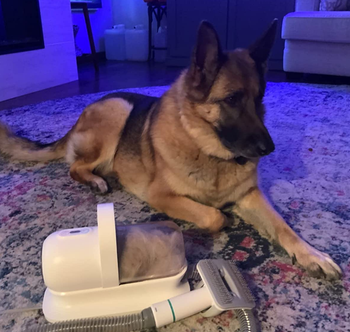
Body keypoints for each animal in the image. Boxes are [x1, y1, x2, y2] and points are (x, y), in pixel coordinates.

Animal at [0, 21, 342, 280]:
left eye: (259, 98)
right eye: (232, 99)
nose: (268, 149)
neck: (209, 152)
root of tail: (83, 114)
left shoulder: (250, 195)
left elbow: (283, 227)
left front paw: (312, 254)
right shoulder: (161, 196)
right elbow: (214, 216)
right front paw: (225, 217)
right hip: (118, 110)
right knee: (75, 166)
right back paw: (97, 179)